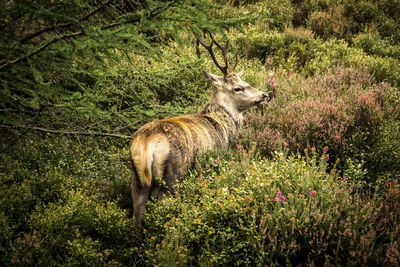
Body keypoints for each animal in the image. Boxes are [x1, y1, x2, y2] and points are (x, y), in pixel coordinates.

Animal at [130, 31, 274, 228]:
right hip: (171, 174)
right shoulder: (214, 159)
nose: (265, 95)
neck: (223, 124)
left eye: (245, 81)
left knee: (136, 215)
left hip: (137, 178)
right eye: (237, 88)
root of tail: (146, 145)